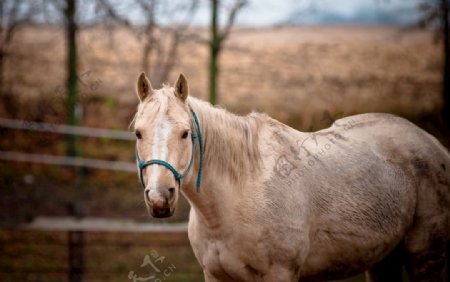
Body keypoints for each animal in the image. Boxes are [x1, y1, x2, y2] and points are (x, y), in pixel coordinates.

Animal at [132, 71, 450, 280]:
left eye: (185, 133)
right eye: (138, 133)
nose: (160, 198)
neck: (237, 196)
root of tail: (434, 144)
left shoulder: (280, 273)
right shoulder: (215, 275)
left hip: (425, 257)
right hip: (383, 259)